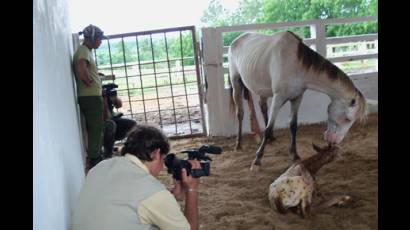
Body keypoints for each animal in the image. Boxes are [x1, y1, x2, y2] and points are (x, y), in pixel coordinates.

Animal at [229, 31, 366, 171]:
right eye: (347, 119)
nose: (335, 141)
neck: (296, 65)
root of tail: (236, 40)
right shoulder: (278, 98)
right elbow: (267, 129)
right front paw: (257, 160)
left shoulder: (297, 98)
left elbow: (293, 126)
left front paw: (294, 154)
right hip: (236, 83)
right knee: (240, 113)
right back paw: (238, 144)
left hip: (262, 90)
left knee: (262, 107)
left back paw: (271, 138)